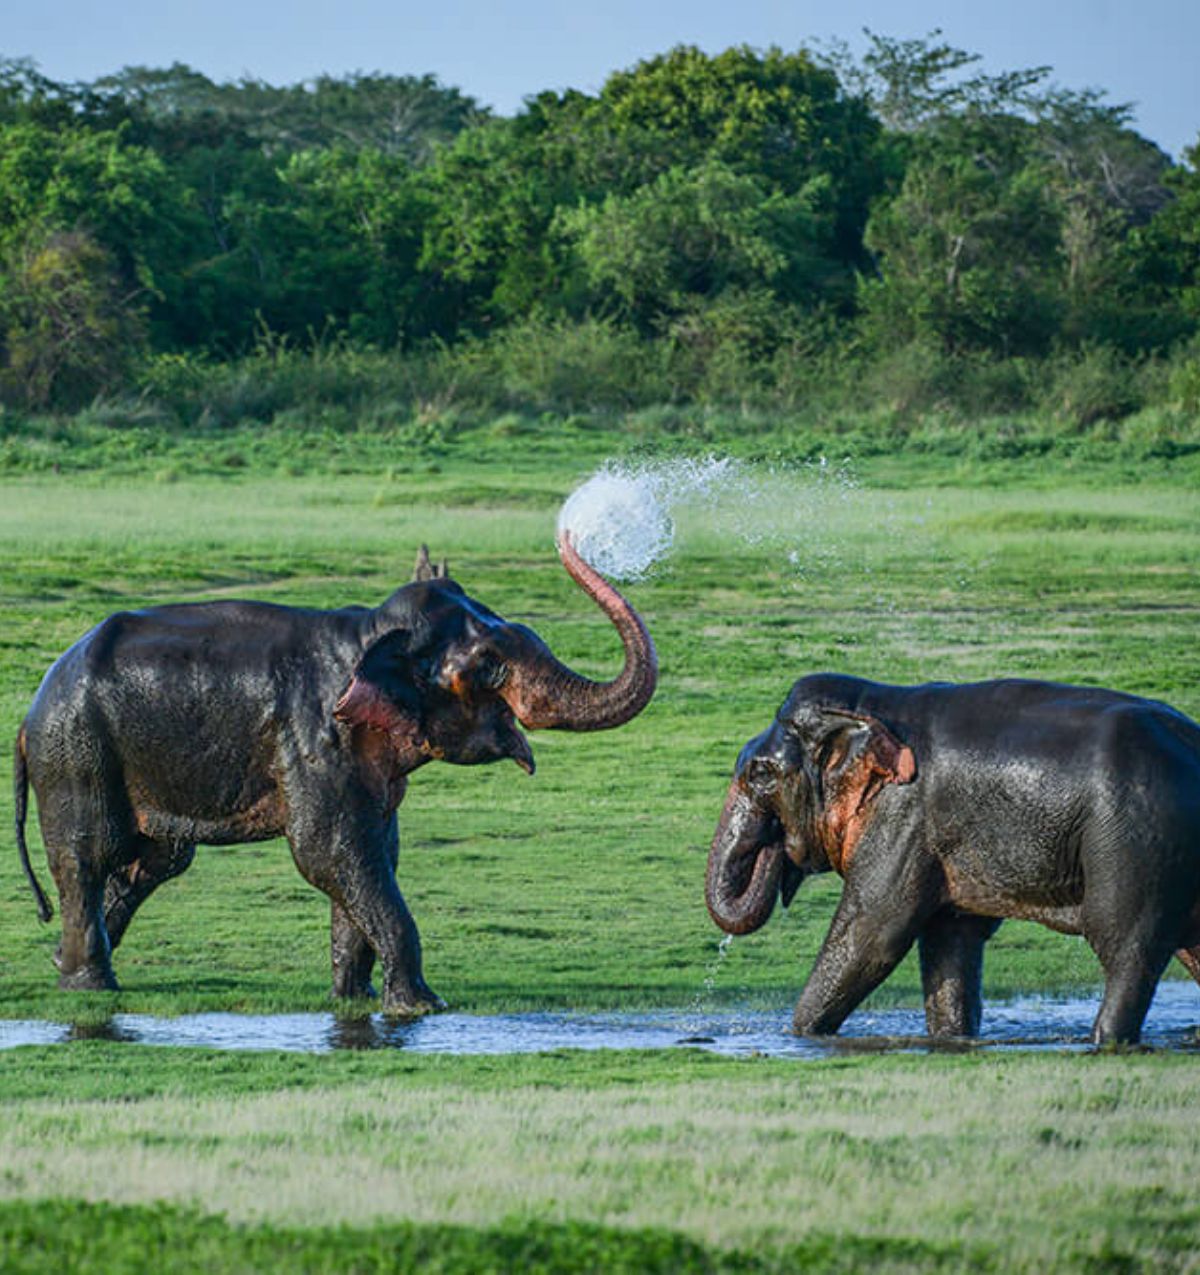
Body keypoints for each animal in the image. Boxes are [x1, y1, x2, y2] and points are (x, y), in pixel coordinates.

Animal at [14, 535, 658, 1014]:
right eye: (488, 666)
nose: (570, 534)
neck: (369, 633)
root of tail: (29, 715)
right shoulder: (315, 736)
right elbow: (328, 851)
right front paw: (422, 1006)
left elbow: (371, 853)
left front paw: (354, 998)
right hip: (76, 753)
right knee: (89, 857)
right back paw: (90, 985)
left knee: (154, 862)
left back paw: (63, 965)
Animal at [703, 673, 1198, 1040]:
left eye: (760, 774)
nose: (775, 849)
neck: (876, 703)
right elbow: (950, 938)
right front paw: (952, 1038)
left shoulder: (904, 818)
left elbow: (872, 935)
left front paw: (799, 1035)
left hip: (1135, 843)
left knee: (1125, 948)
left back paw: (1105, 1040)